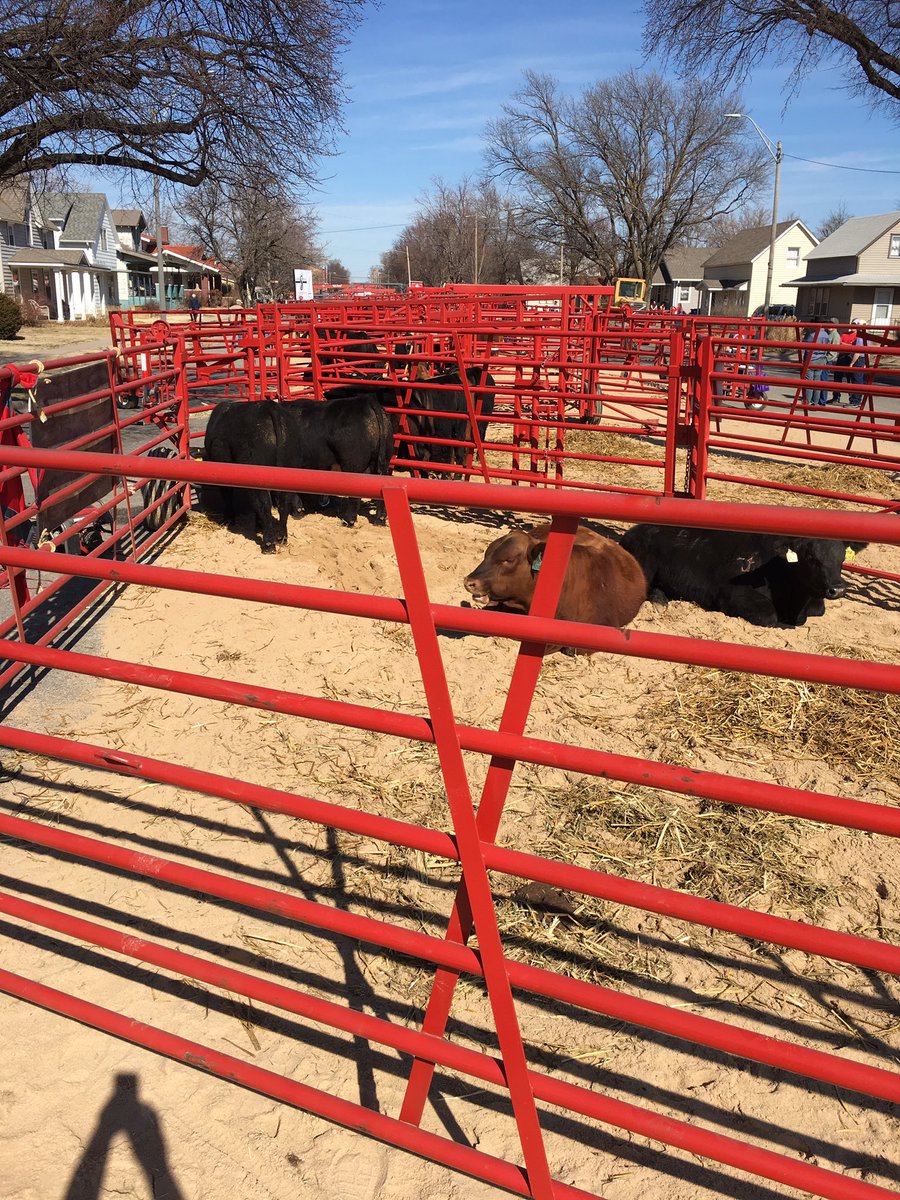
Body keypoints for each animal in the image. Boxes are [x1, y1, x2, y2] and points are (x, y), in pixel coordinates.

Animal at [202, 400, 298, 553]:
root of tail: (269, 406)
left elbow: (227, 493)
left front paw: (229, 519)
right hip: (288, 466)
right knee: (284, 502)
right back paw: (281, 537)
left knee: (263, 503)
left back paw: (268, 544)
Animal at [619, 524, 866, 627]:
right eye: (810, 557)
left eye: (842, 557)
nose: (838, 588)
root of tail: (633, 531)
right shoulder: (732, 595)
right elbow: (770, 617)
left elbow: (818, 609)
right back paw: (660, 601)